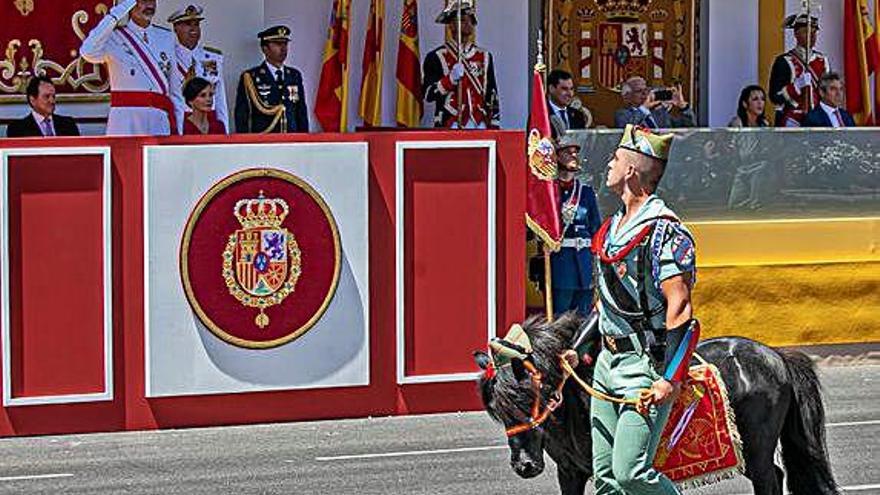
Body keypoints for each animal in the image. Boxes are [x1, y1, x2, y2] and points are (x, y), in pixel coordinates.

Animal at [474, 316, 840, 494]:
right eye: (498, 409)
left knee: (770, 479)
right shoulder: (571, 472)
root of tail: (776, 355)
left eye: (525, 398)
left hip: (756, 449)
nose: (524, 465)